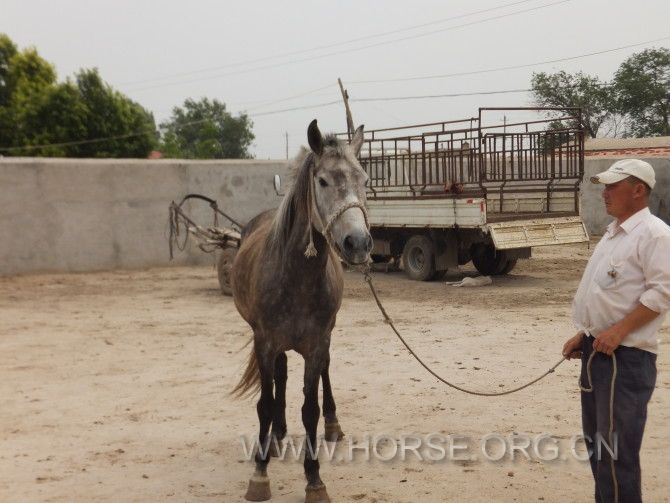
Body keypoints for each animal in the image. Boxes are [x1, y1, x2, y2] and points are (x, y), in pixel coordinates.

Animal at [231, 120, 372, 502]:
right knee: (279, 377)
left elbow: (311, 408)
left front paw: (314, 479)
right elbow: (265, 403)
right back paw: (276, 436)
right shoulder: (265, 342)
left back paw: (332, 426)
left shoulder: (317, 342)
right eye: (322, 181)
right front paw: (260, 472)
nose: (359, 243)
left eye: (364, 180)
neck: (295, 276)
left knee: (325, 372)